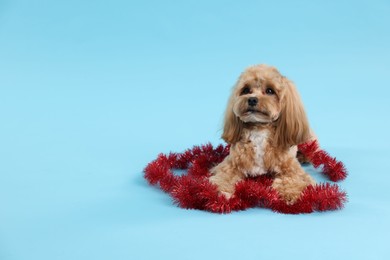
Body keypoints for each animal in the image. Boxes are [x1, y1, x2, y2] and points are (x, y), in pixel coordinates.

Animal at [209, 64, 316, 204]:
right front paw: (219, 190)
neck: (259, 129)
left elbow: (292, 180)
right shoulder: (231, 164)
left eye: (270, 91)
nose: (252, 99)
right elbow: (223, 176)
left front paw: (290, 193)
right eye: (246, 90)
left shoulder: (291, 169)